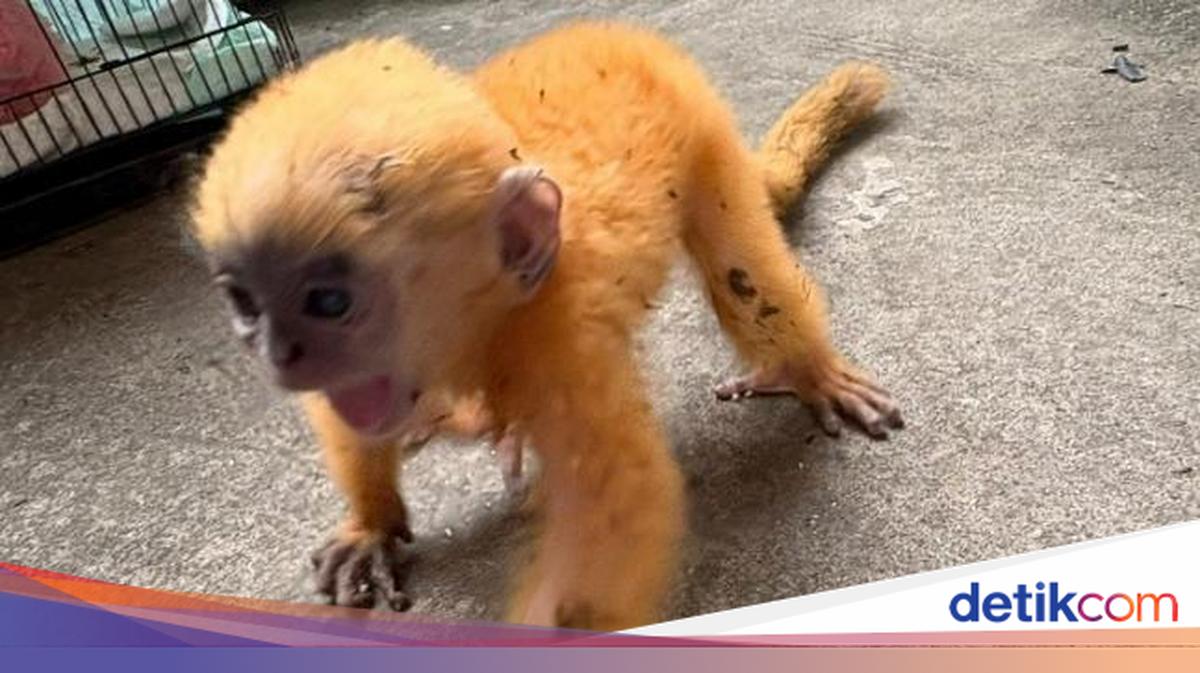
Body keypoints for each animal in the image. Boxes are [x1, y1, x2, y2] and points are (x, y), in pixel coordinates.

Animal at [190, 21, 902, 631]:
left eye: (329, 303)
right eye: (245, 302)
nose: (280, 354)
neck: (487, 319)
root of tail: (602, 32)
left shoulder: (557, 338)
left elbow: (615, 499)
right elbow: (350, 415)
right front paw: (373, 524)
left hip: (699, 120)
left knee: (738, 255)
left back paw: (800, 368)